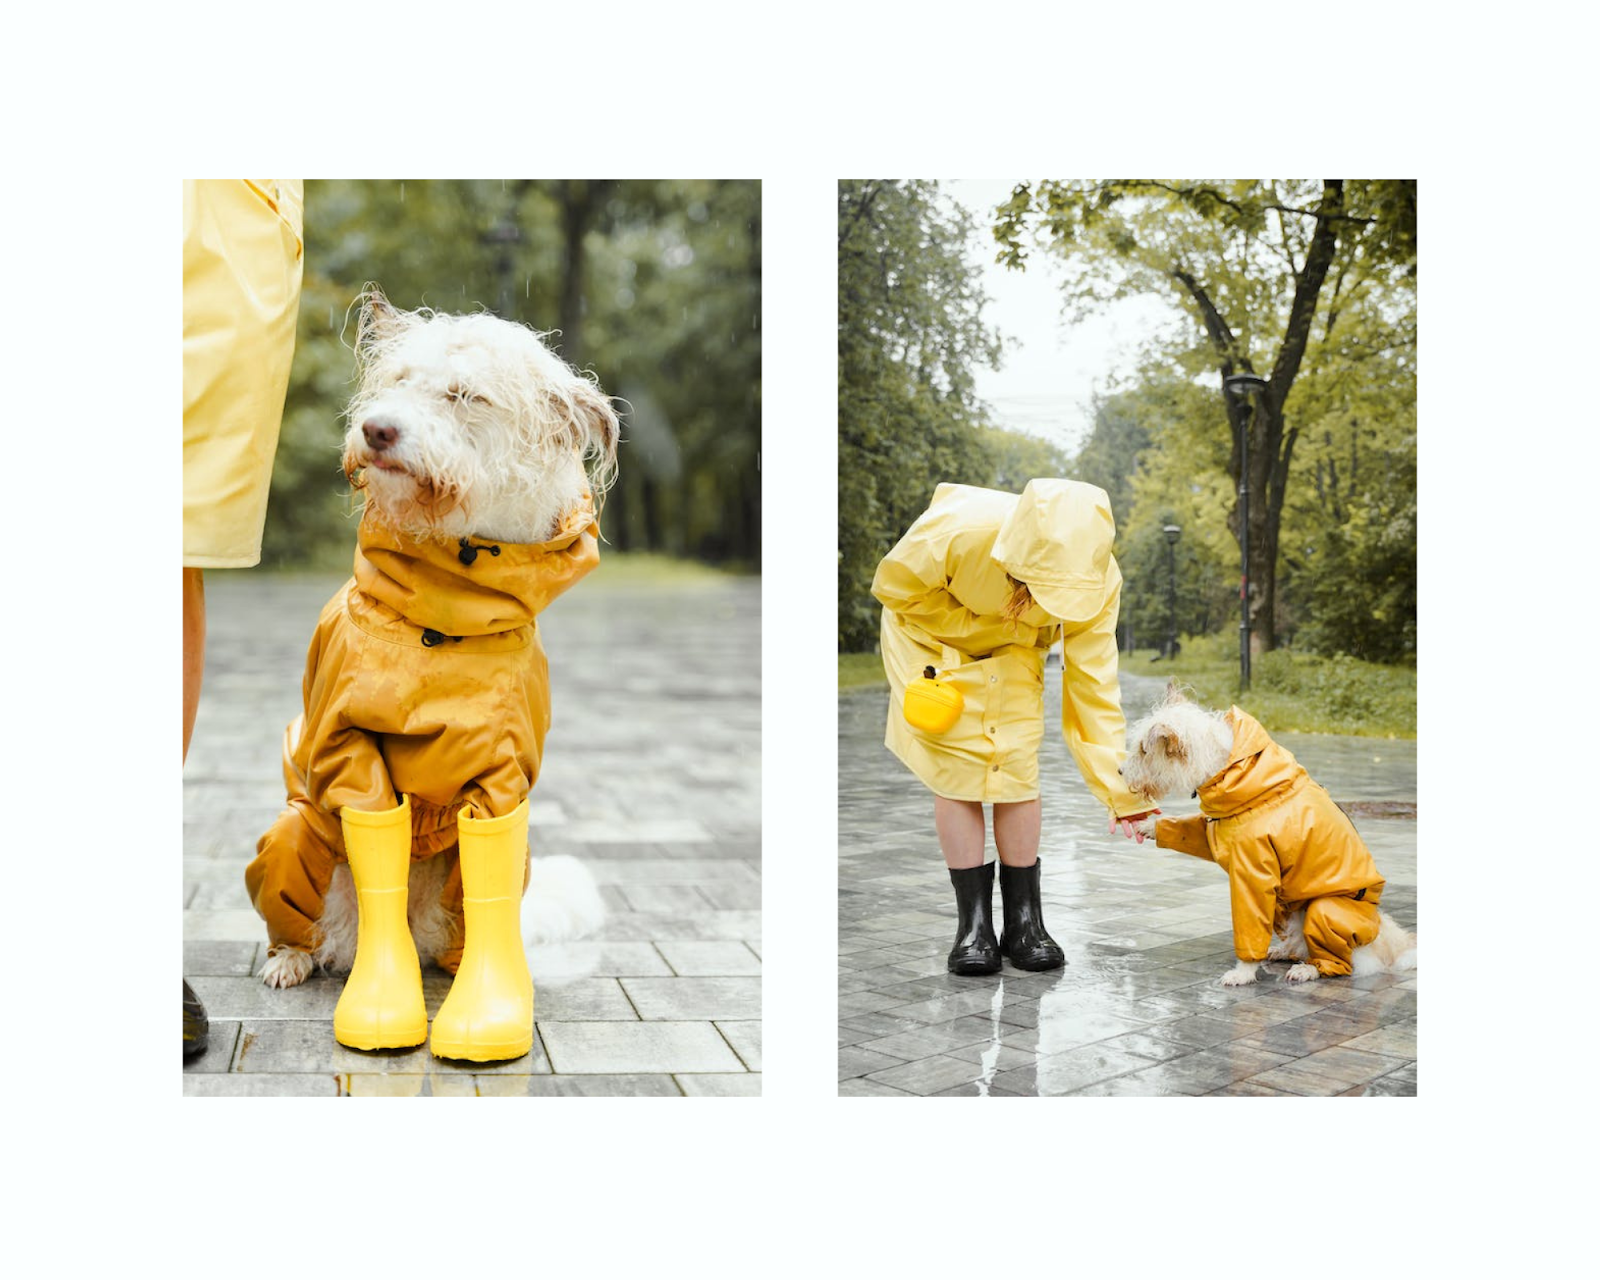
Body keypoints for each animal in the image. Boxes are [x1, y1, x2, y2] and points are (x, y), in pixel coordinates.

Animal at [243, 289, 617, 1062]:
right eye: (397, 382)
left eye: (466, 396)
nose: (377, 429)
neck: (447, 607)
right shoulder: (347, 750)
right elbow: (375, 830)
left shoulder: (503, 779)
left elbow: (489, 872)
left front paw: (492, 1007)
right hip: (297, 832)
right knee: (305, 915)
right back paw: (293, 958)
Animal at [1120, 691, 1420, 992]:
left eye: (1144, 750)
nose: (1120, 771)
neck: (1236, 775)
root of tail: (1387, 946)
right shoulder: (1214, 834)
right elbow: (1192, 830)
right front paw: (1148, 825)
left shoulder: (1253, 874)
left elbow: (1249, 927)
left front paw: (1243, 972)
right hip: (1286, 905)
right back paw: (1286, 952)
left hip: (1327, 911)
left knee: (1342, 962)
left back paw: (1311, 968)